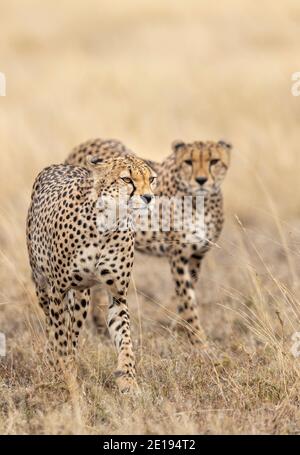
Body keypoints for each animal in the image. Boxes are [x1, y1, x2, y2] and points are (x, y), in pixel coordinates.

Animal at [26, 153, 156, 392]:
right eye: (126, 179)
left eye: (151, 179)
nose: (149, 198)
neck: (108, 222)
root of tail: (61, 165)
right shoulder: (58, 290)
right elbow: (59, 337)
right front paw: (65, 376)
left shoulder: (117, 295)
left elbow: (125, 339)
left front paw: (128, 381)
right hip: (42, 286)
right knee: (52, 326)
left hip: (81, 297)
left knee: (73, 331)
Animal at [67, 139, 232, 346]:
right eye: (188, 162)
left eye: (214, 161)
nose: (201, 180)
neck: (202, 202)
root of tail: (88, 142)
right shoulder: (178, 256)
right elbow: (186, 298)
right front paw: (198, 340)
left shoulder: (196, 256)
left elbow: (187, 294)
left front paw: (181, 329)